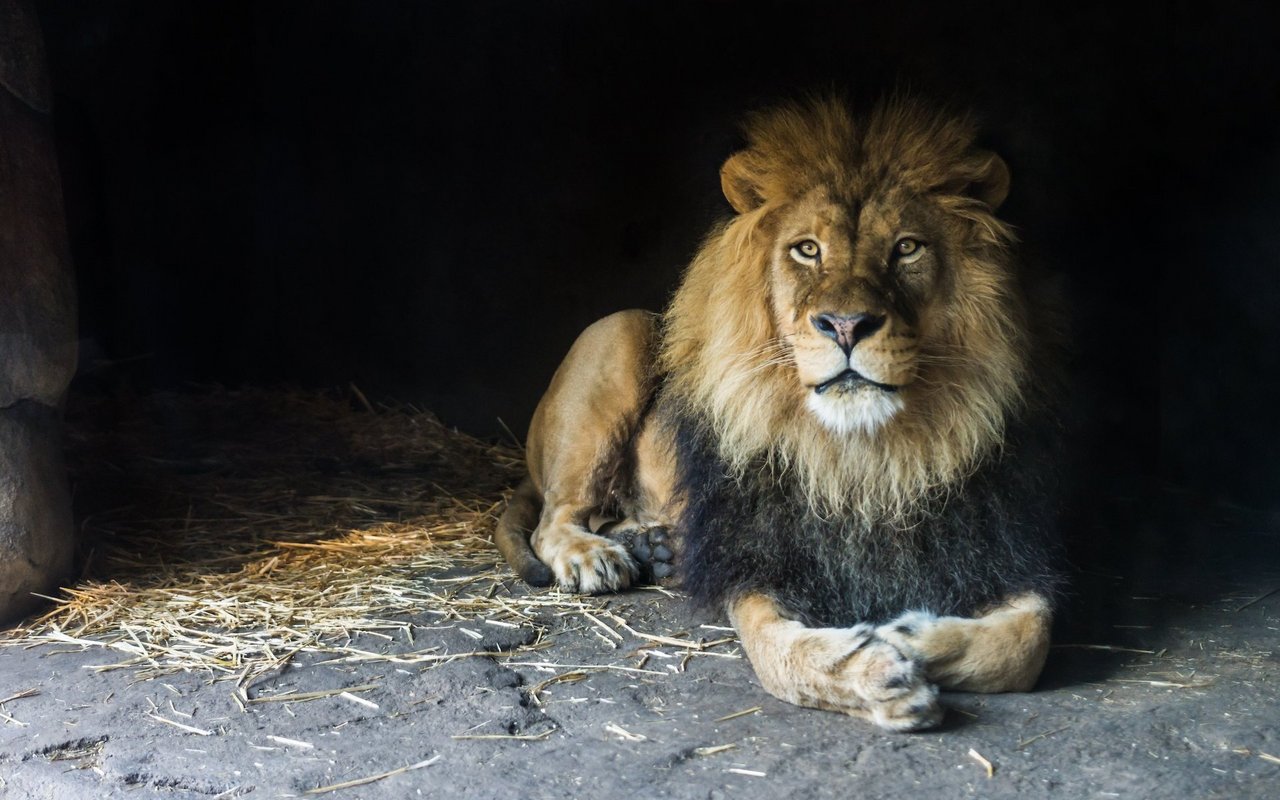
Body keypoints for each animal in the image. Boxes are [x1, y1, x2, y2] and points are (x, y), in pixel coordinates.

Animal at [494, 95, 1064, 732]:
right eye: (807, 249)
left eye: (907, 247)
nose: (846, 325)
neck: (865, 457)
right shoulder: (759, 561)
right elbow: (782, 655)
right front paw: (873, 675)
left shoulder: (999, 549)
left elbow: (1026, 642)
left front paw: (908, 636)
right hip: (623, 329)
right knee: (554, 519)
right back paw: (596, 555)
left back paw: (656, 546)